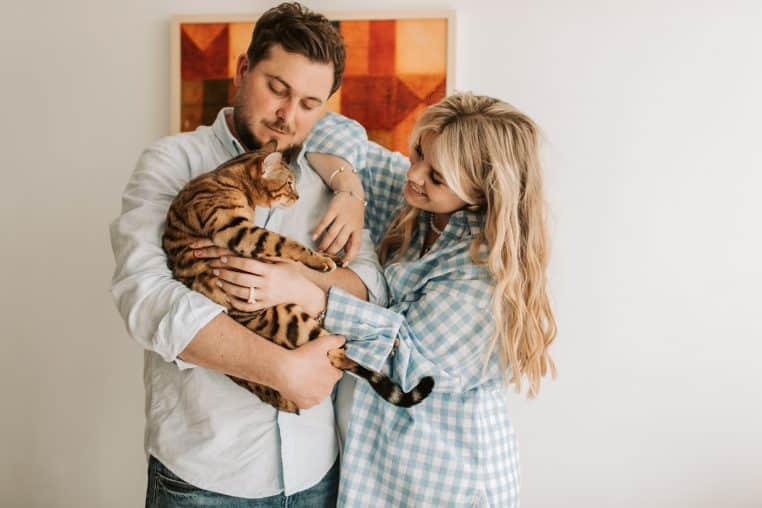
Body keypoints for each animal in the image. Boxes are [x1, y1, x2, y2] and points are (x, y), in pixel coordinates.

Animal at [160, 143, 434, 412]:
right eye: (289, 184)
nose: (298, 197)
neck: (230, 178)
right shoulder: (237, 231)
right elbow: (284, 242)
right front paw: (320, 260)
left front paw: (328, 256)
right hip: (290, 320)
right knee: (338, 354)